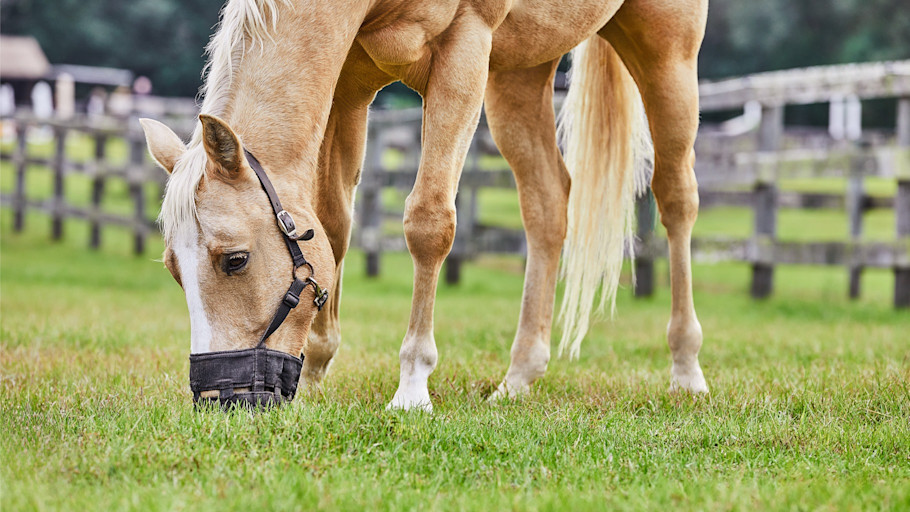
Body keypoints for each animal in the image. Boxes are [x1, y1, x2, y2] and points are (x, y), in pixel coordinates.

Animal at [141, 0, 709, 411]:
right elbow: (333, 224)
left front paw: (412, 386)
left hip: (667, 52)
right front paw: (319, 369)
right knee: (547, 203)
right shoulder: (349, 81)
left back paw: (687, 369)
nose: (217, 396)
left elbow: (429, 223)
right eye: (172, 270)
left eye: (235, 260)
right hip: (519, 73)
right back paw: (519, 377)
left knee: (676, 198)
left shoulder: (464, 48)